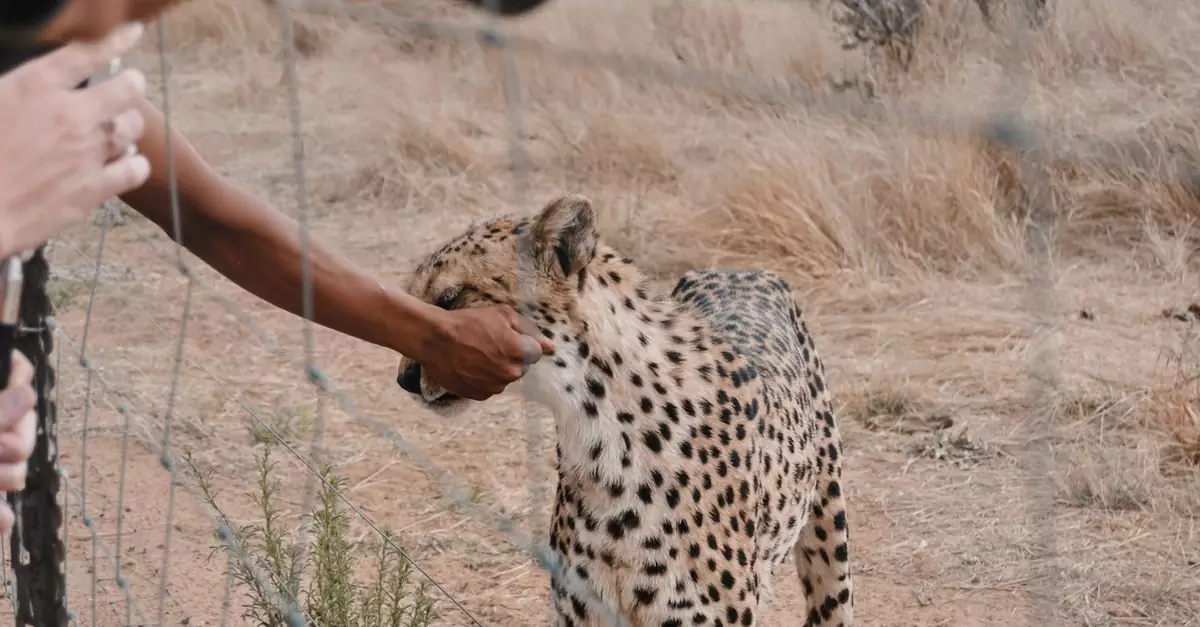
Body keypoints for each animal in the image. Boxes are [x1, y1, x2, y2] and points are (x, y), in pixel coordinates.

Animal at [395, 193, 854, 627]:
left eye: (451, 297)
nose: (405, 378)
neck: (599, 421)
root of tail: (741, 271)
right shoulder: (582, 612)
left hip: (830, 544)